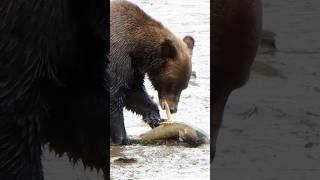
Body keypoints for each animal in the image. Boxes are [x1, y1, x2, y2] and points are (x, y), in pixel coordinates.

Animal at [110, 0, 194, 145]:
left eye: (184, 87)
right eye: (173, 84)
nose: (173, 109)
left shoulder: (133, 67)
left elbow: (134, 91)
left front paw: (155, 118)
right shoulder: (117, 57)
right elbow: (115, 94)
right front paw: (123, 138)